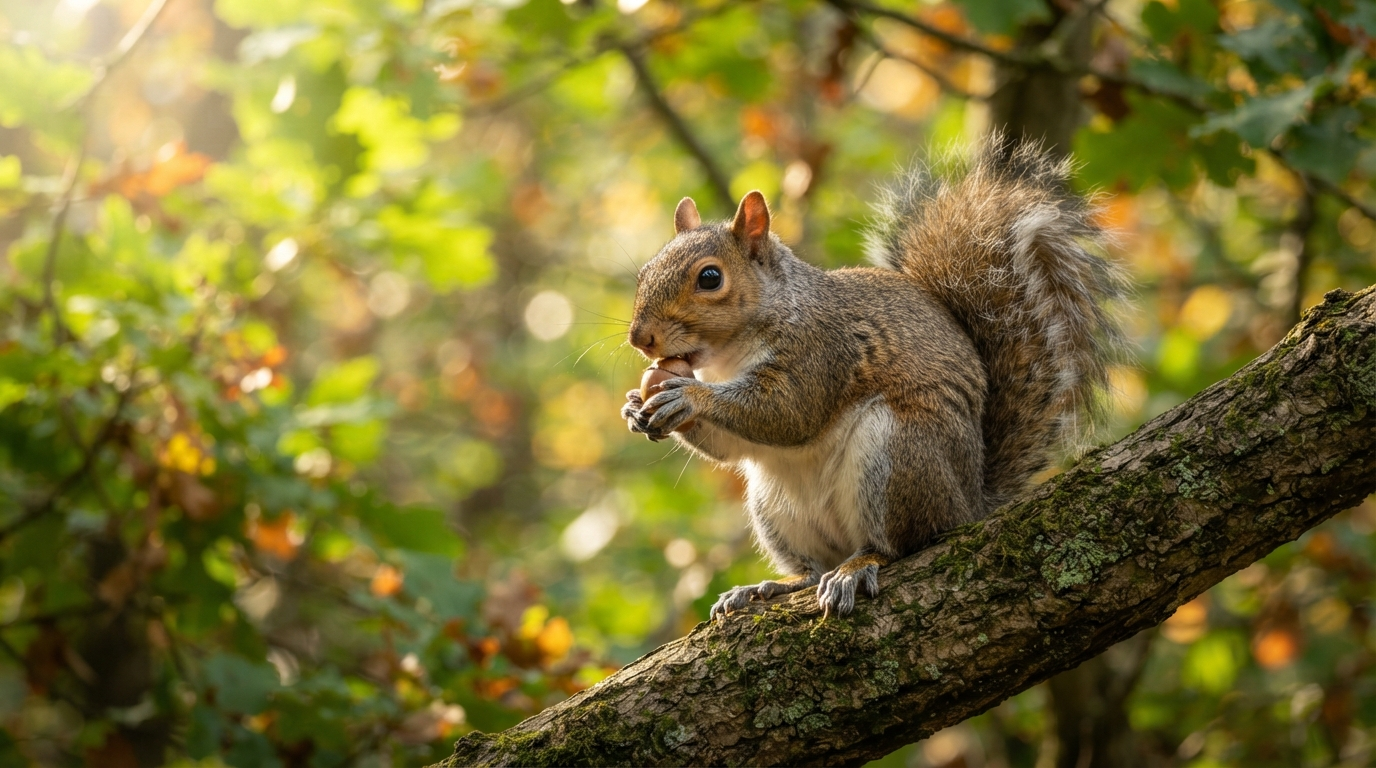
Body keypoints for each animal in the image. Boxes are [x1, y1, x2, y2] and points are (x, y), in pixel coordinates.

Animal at [621, 137, 1126, 619]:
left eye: (710, 278)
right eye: (644, 273)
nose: (640, 338)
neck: (730, 357)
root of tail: (969, 503)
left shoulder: (823, 350)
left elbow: (787, 412)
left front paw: (688, 397)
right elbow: (731, 446)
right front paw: (634, 407)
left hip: (900, 453)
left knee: (902, 543)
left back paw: (859, 567)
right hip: (774, 506)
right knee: (812, 567)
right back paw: (773, 586)